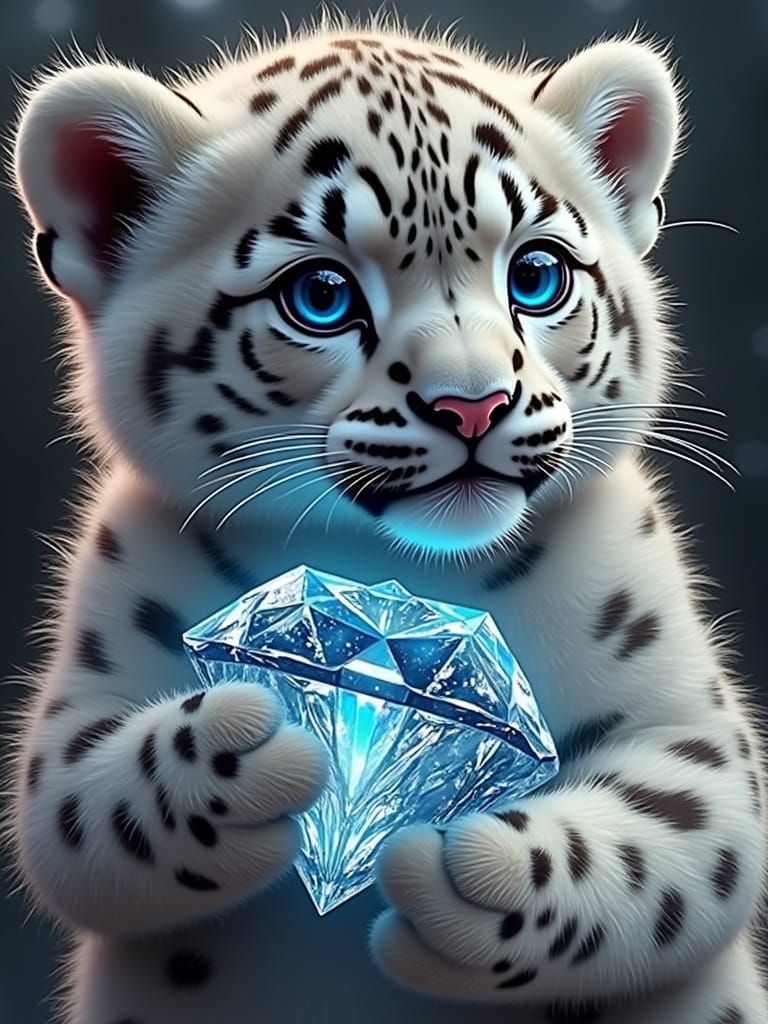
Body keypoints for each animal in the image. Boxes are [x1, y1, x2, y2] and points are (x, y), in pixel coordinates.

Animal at [6, 11, 768, 1024]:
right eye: (321, 295)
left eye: (537, 274)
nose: (474, 405)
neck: (403, 584)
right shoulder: (92, 685)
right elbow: (79, 807)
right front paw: (246, 746)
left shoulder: (681, 715)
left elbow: (682, 830)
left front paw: (470, 863)